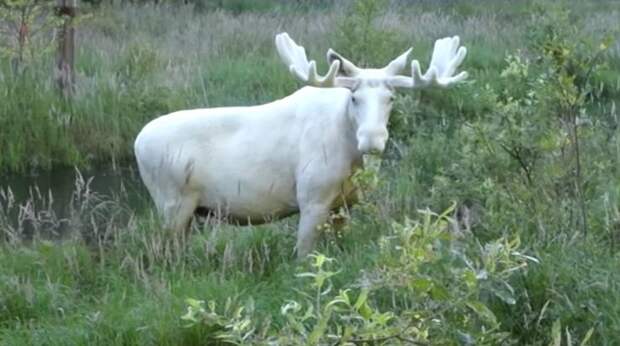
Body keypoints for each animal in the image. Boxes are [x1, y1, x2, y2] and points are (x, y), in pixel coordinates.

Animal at [134, 32, 464, 258]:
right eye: (354, 97)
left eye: (391, 98)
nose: (372, 139)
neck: (351, 159)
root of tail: (137, 142)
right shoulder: (311, 198)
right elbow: (304, 257)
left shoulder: (344, 205)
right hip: (171, 202)